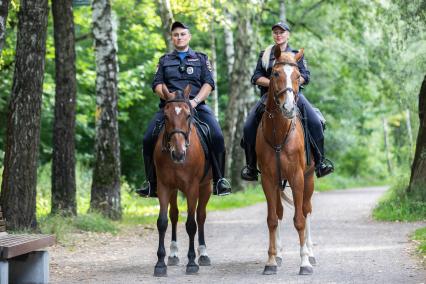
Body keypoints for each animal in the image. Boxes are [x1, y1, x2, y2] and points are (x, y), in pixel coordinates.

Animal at [153, 85, 213, 276]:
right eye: (166, 116)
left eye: (188, 115)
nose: (178, 153)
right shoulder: (164, 187)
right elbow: (162, 222)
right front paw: (160, 263)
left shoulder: (192, 187)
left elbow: (191, 224)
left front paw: (192, 262)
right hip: (173, 190)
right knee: (174, 215)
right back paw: (173, 254)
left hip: (206, 187)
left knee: (200, 216)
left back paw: (203, 254)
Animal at [256, 46, 316, 276]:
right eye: (275, 73)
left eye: (298, 75)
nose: (289, 108)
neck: (278, 134)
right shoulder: (268, 179)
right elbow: (272, 219)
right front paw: (271, 261)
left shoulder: (297, 177)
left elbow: (299, 220)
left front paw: (305, 263)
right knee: (280, 213)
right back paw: (279, 254)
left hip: (309, 179)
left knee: (306, 211)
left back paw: (311, 252)